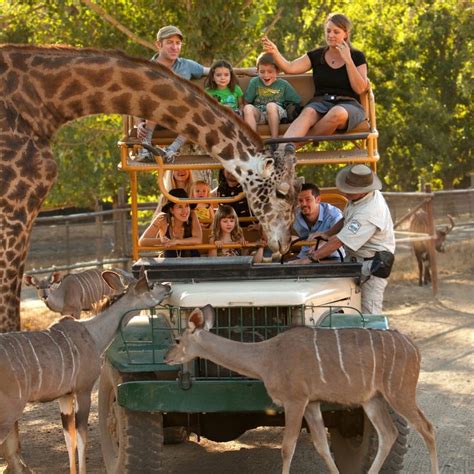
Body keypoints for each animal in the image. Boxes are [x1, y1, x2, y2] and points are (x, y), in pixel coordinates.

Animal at [0, 270, 170, 474]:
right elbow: (82, 437)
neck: (93, 333)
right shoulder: (83, 390)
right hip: (9, 411)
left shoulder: (65, 396)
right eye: (150, 286)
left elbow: (69, 438)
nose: (168, 286)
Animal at [165, 306, 438, 474]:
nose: (167, 358)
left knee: (427, 427)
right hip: (373, 399)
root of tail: (414, 348)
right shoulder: (312, 403)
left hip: (400, 393)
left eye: (177, 340)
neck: (267, 357)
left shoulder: (295, 401)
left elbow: (288, 448)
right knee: (389, 433)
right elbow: (322, 446)